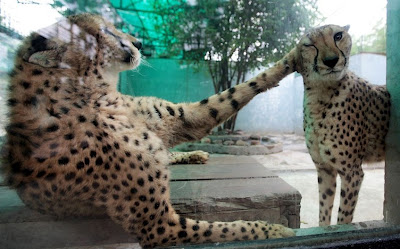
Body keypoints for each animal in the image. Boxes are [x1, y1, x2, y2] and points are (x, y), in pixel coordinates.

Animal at [3, 13, 296, 247]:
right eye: (106, 31)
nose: (139, 43)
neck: (95, 93)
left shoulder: (184, 118)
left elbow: (234, 93)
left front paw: (294, 55)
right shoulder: (159, 227)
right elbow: (229, 229)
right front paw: (275, 230)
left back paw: (194, 154)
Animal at [292, 24, 390, 226]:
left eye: (338, 36)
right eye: (309, 44)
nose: (331, 60)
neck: (320, 95)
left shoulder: (352, 173)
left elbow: (344, 217)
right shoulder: (325, 169)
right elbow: (324, 211)